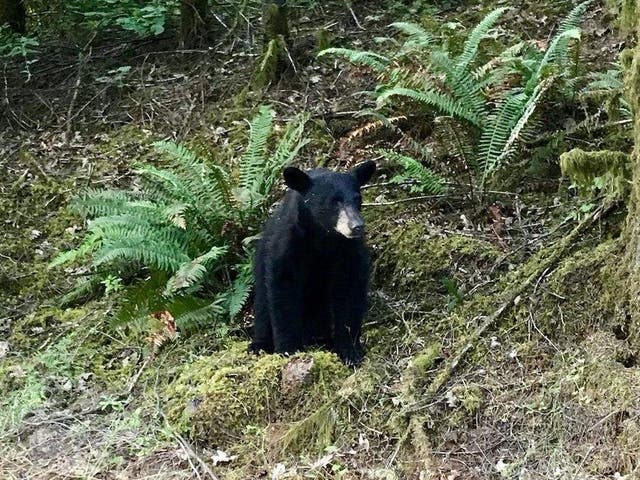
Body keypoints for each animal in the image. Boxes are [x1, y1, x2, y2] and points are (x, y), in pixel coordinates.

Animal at [250, 159, 378, 366]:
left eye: (358, 199)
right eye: (334, 201)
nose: (357, 226)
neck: (323, 237)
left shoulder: (348, 251)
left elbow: (350, 292)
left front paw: (350, 351)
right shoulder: (288, 244)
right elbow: (283, 291)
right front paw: (288, 349)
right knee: (262, 302)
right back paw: (259, 345)